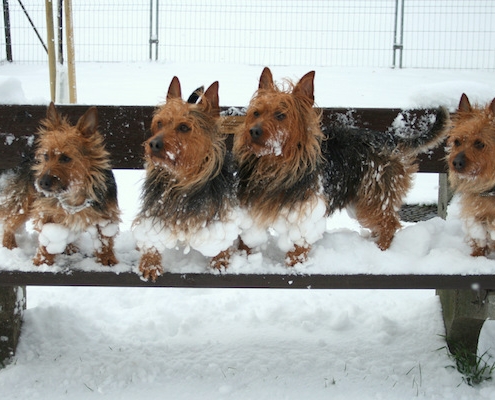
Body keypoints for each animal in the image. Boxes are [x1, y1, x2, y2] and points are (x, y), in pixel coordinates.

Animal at [29, 103, 121, 266]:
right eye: (46, 156)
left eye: (65, 158)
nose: (42, 183)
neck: (74, 191)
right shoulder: (46, 212)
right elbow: (46, 238)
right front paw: (42, 261)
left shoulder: (106, 214)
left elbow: (104, 239)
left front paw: (107, 259)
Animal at [133, 76, 239, 280]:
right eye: (160, 123)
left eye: (183, 127)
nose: (153, 144)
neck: (181, 178)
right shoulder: (154, 210)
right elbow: (150, 237)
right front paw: (150, 263)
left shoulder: (218, 214)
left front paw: (220, 261)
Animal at [234, 67, 448, 266]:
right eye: (256, 113)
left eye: (280, 115)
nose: (253, 131)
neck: (275, 162)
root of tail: (391, 138)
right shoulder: (253, 210)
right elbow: (247, 242)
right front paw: (245, 259)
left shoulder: (306, 215)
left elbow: (298, 249)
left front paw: (294, 267)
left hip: (374, 193)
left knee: (389, 223)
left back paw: (380, 250)